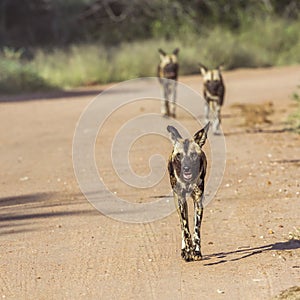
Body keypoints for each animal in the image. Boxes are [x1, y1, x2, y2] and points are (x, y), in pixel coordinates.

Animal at [168, 123, 210, 262]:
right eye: (179, 155)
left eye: (193, 155)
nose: (186, 168)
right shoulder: (181, 199)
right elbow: (186, 230)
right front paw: (188, 250)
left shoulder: (198, 201)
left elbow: (196, 230)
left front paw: (196, 251)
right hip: (179, 202)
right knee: (182, 225)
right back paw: (184, 250)